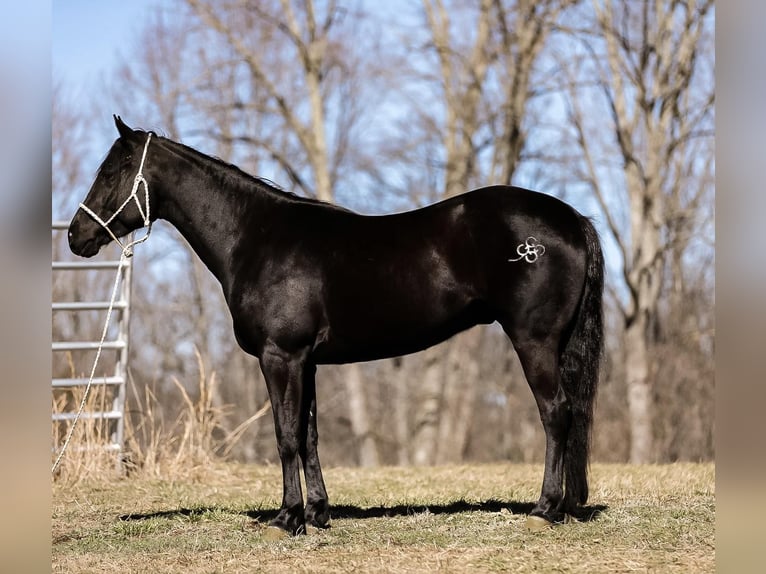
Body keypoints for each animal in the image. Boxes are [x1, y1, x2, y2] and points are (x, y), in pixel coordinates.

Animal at [67, 117, 608, 540]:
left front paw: (286, 519)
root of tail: (571, 219)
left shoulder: (280, 356)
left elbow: (285, 434)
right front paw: (317, 514)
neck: (255, 237)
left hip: (534, 342)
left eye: (112, 172)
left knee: (556, 414)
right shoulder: (306, 362)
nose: (76, 235)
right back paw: (563, 507)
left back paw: (544, 510)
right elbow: (308, 435)